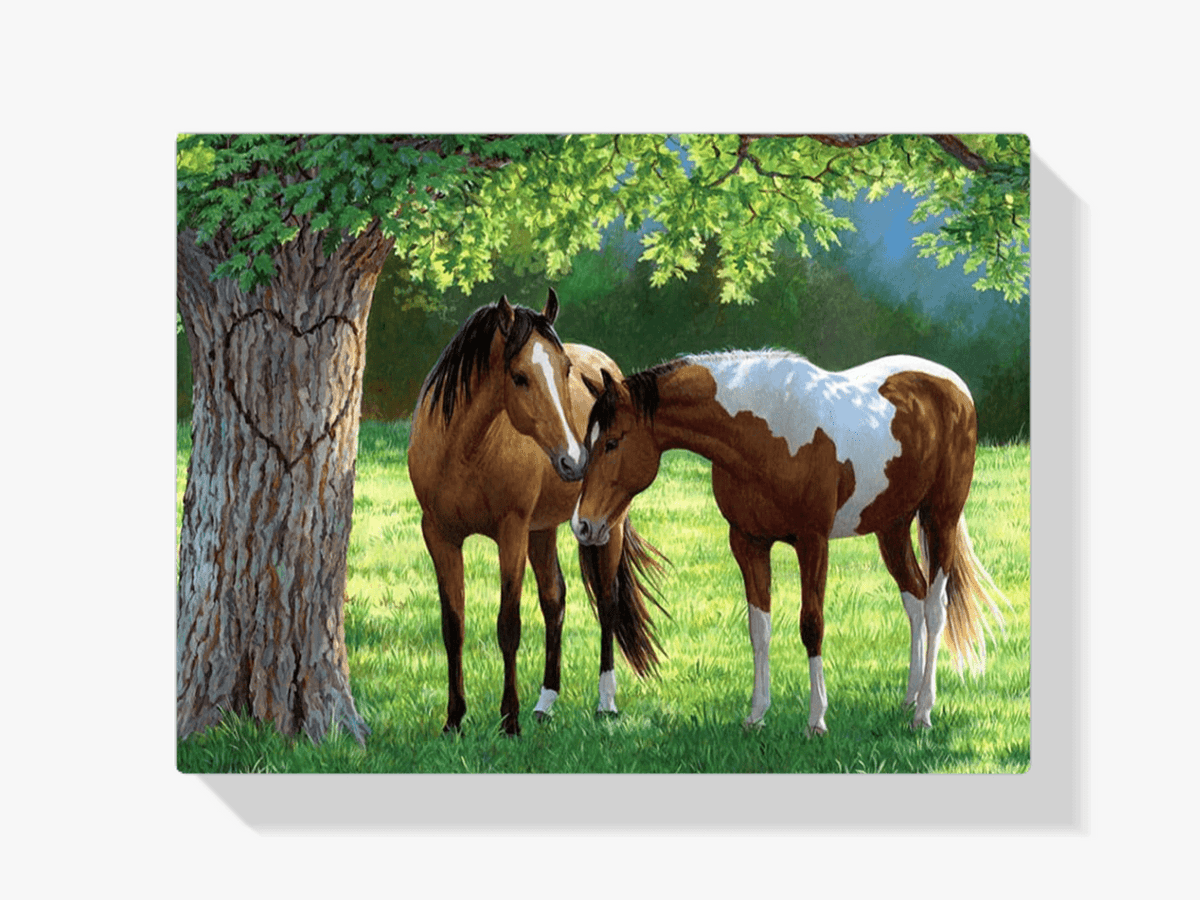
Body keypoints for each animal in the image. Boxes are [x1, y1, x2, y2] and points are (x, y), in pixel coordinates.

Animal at [407, 291, 666, 736]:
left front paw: (508, 721)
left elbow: (508, 625)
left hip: (606, 527)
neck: (461, 452)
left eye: (565, 370)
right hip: (542, 532)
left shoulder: (511, 532)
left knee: (608, 601)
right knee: (554, 599)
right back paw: (545, 702)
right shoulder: (440, 536)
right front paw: (454, 720)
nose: (575, 461)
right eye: (519, 377)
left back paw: (605, 703)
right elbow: (453, 626)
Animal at [571, 349, 1006, 734]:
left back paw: (924, 713)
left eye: (613, 442)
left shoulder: (812, 542)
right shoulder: (747, 543)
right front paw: (756, 715)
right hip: (892, 527)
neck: (766, 435)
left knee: (935, 607)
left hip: (940, 517)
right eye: (588, 442)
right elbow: (758, 629)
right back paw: (909, 699)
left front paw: (816, 720)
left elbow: (811, 624)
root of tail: (954, 386)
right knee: (913, 598)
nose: (583, 525)